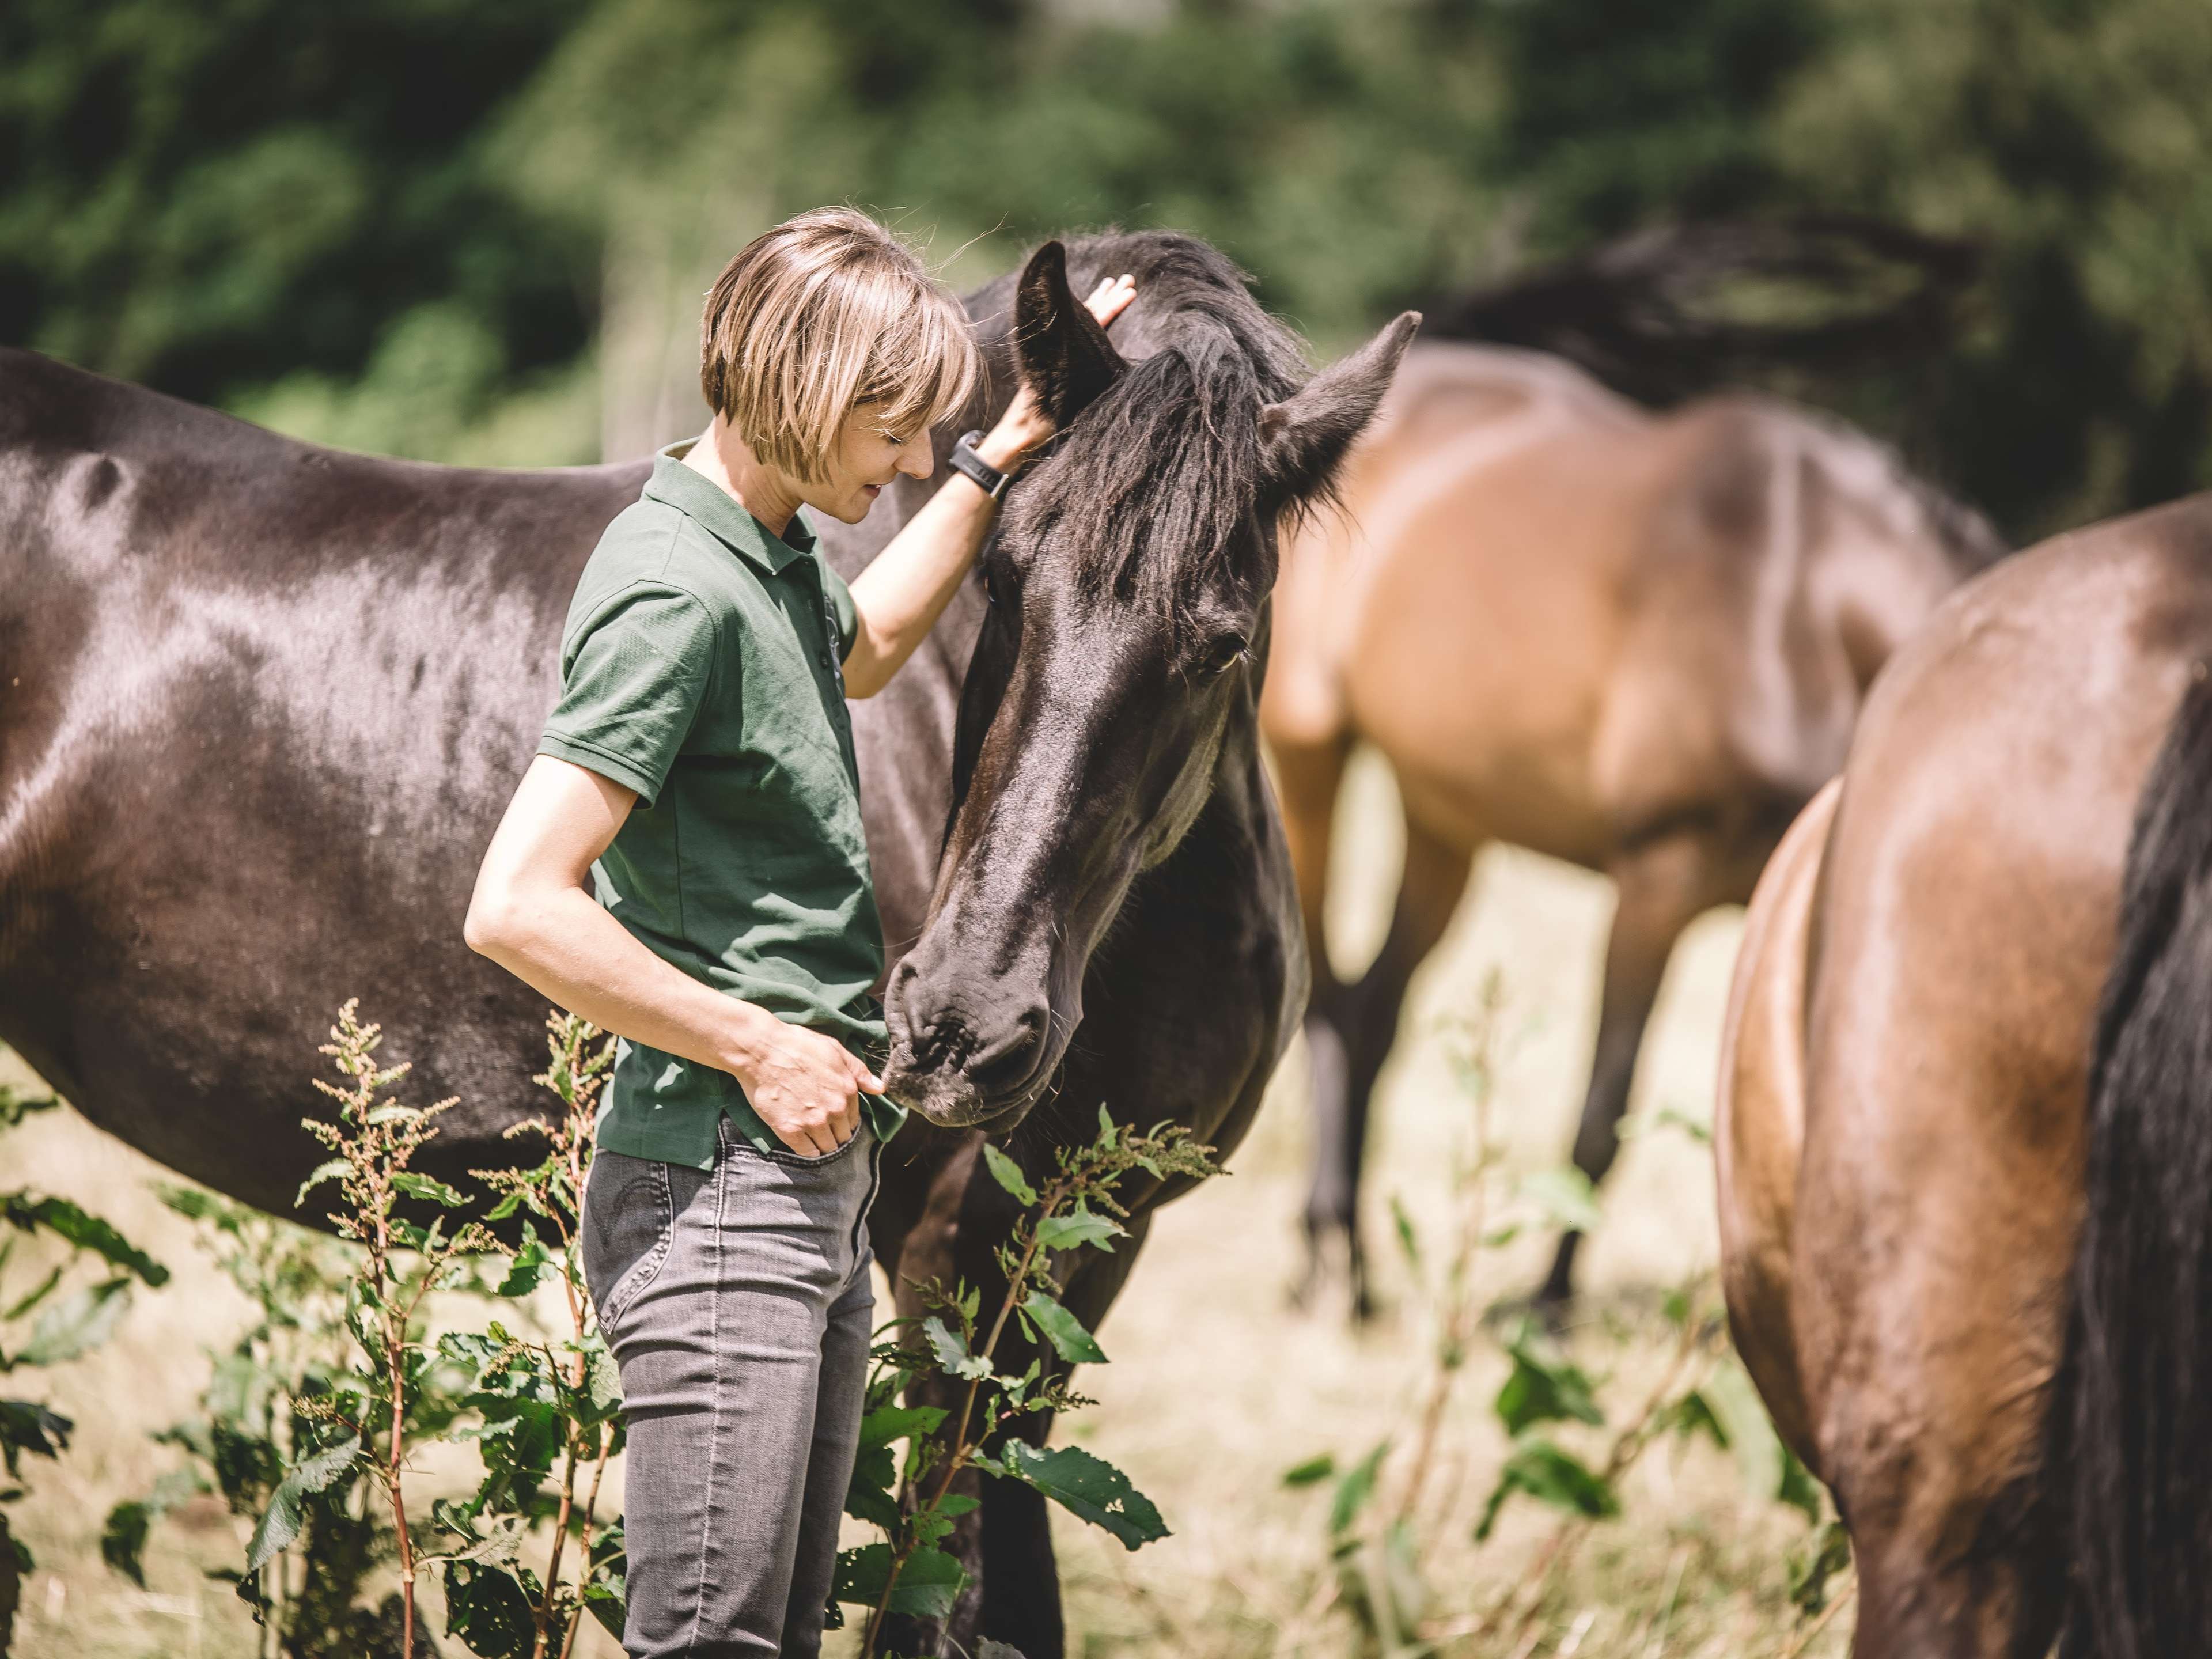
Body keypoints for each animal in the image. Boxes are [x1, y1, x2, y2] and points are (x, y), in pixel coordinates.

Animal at [1264, 337, 2005, 1315]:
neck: (1804, 610)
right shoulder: (1658, 883)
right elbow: (1602, 1111)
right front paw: (1546, 1307)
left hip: (1445, 817)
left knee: (1374, 1011)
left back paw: (1352, 1255)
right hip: (1309, 751)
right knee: (1325, 994)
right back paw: (1321, 1255)